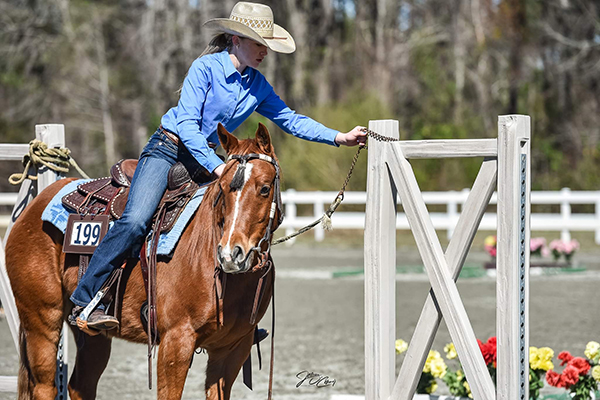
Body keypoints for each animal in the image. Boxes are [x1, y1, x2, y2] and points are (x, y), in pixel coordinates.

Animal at [5, 123, 282, 398]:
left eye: (264, 188)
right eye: (222, 189)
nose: (230, 255)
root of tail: (34, 206)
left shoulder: (232, 349)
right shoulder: (176, 343)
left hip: (93, 337)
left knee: (80, 384)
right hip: (41, 320)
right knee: (45, 386)